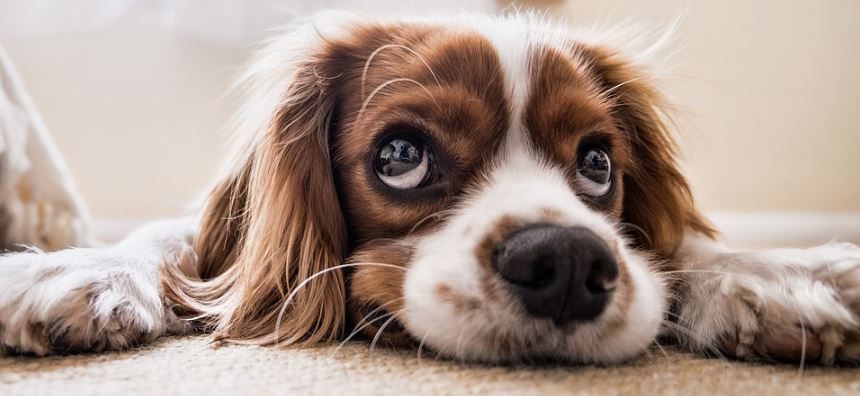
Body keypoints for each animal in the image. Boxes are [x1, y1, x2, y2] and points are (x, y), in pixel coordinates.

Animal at [1, 12, 860, 366]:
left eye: (598, 164)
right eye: (401, 155)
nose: (568, 263)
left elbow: (683, 246)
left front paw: (779, 274)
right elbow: (175, 242)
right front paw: (74, 269)